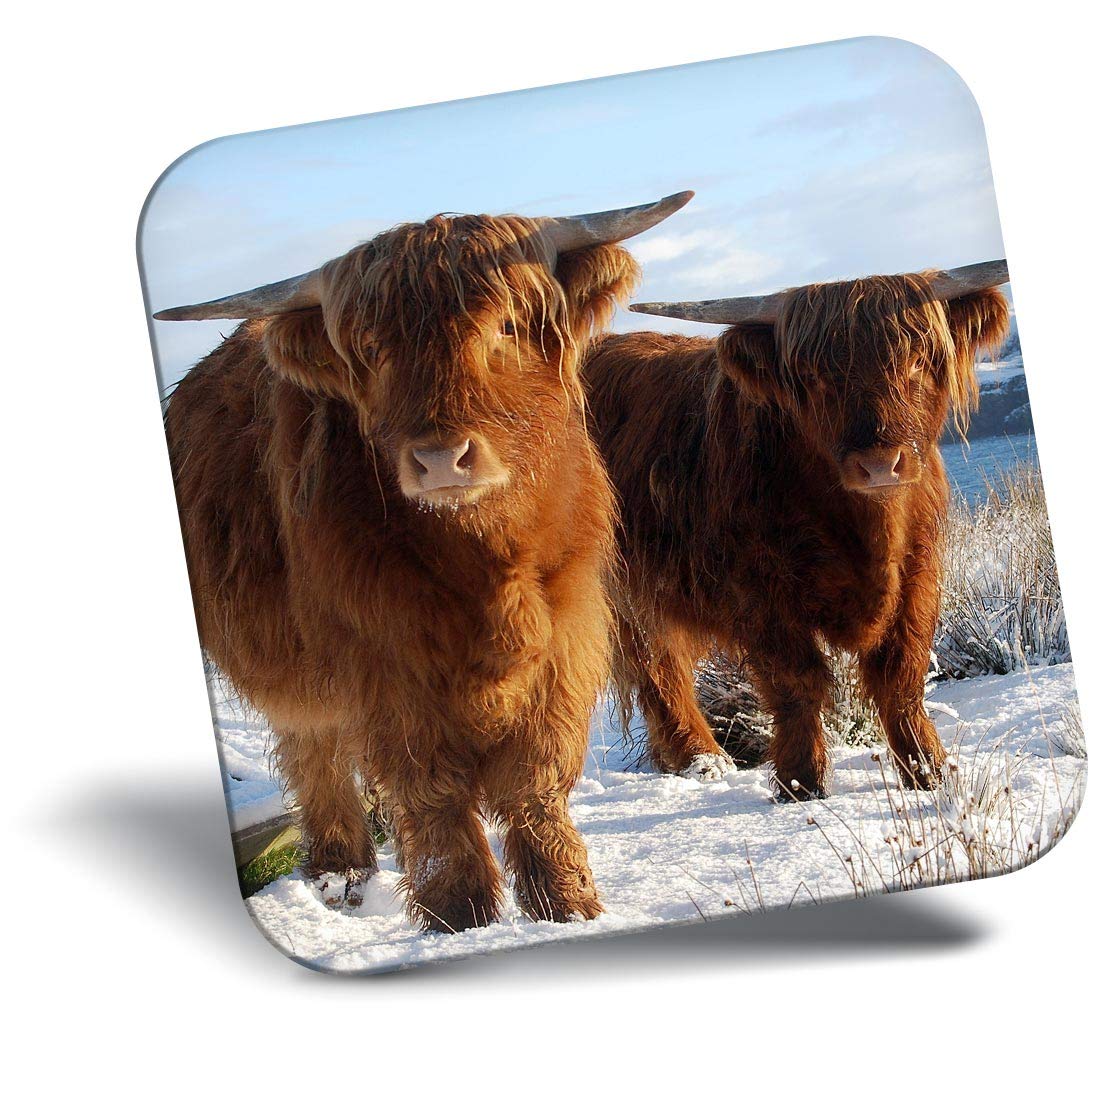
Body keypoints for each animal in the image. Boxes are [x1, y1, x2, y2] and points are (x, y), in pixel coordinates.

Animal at [155, 192, 693, 931]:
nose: (440, 459)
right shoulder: (386, 658)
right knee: (313, 749)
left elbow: (537, 774)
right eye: (373, 351)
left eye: (505, 325)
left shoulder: (568, 628)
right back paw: (340, 871)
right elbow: (429, 786)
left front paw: (568, 903)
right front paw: (459, 915)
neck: (488, 568)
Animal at [583, 261, 1010, 798]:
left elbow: (902, 673)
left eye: (916, 359)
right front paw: (800, 782)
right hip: (622, 588)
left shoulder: (920, 573)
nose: (879, 465)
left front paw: (928, 770)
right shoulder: (760, 593)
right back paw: (703, 759)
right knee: (657, 666)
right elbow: (797, 682)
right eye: (814, 377)